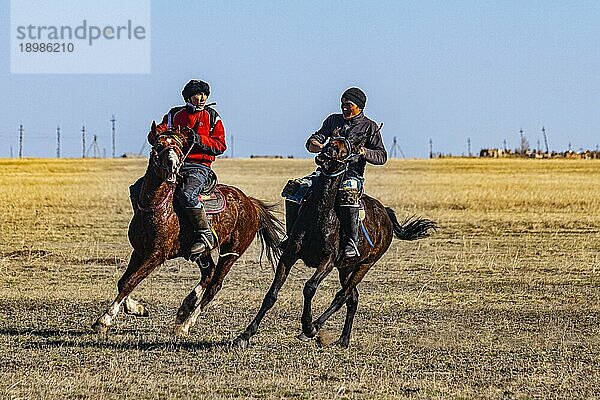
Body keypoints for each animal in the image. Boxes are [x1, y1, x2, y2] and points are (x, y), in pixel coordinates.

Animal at [92, 123, 284, 336]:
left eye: (178, 146)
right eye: (158, 145)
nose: (173, 165)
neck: (157, 206)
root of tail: (250, 203)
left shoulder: (156, 255)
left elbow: (130, 281)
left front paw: (104, 319)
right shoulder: (139, 251)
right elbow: (123, 282)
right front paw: (138, 308)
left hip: (231, 253)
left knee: (215, 285)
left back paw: (185, 323)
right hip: (202, 252)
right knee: (208, 274)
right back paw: (186, 306)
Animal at [233, 137, 436, 346]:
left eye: (345, 149)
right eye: (329, 142)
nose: (325, 154)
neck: (319, 215)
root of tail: (385, 213)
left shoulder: (328, 262)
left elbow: (309, 287)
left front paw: (308, 325)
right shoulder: (289, 256)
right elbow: (271, 295)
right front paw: (244, 335)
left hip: (364, 265)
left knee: (342, 296)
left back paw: (314, 328)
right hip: (346, 268)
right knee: (352, 298)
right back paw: (343, 340)